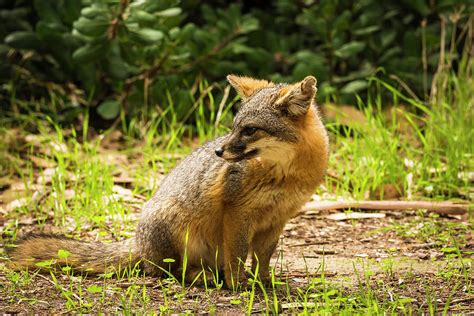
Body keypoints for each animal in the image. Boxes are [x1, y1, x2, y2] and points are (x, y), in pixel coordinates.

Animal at [6, 75, 330, 288]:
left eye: (249, 130)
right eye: (234, 127)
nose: (219, 151)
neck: (286, 175)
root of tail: (138, 242)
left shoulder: (277, 218)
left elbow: (262, 258)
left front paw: (264, 284)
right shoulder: (237, 214)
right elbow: (237, 257)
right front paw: (239, 286)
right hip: (176, 228)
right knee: (167, 272)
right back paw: (204, 277)